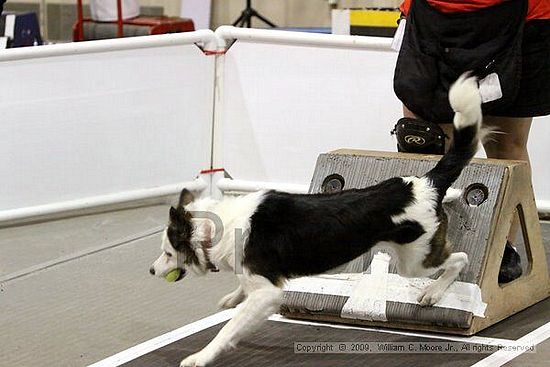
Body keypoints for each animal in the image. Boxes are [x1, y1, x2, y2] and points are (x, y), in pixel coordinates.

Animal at [150, 73, 484, 366]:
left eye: (167, 252)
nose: (151, 270)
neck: (221, 226)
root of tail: (423, 184)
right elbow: (240, 297)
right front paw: (232, 297)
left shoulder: (268, 293)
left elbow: (228, 329)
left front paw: (200, 357)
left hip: (414, 262)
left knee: (460, 259)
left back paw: (434, 291)